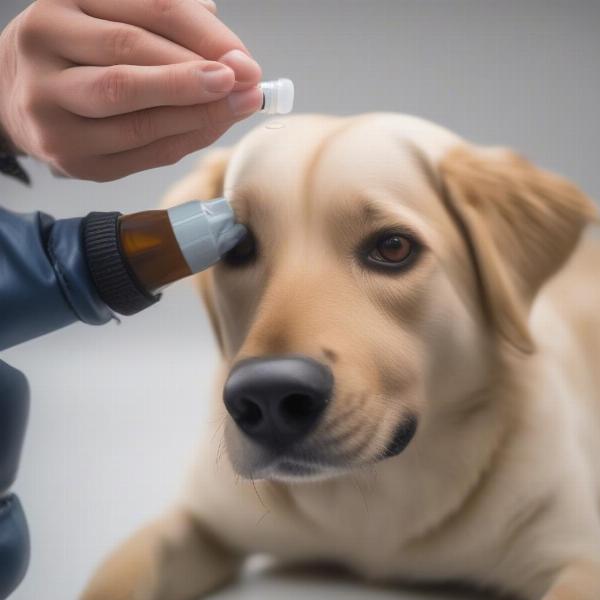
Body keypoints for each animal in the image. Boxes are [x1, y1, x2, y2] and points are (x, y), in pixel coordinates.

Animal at [82, 113, 600, 600]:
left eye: (393, 247)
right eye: (237, 247)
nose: (268, 398)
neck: (369, 498)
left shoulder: (578, 558)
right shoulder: (197, 521)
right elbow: (115, 579)